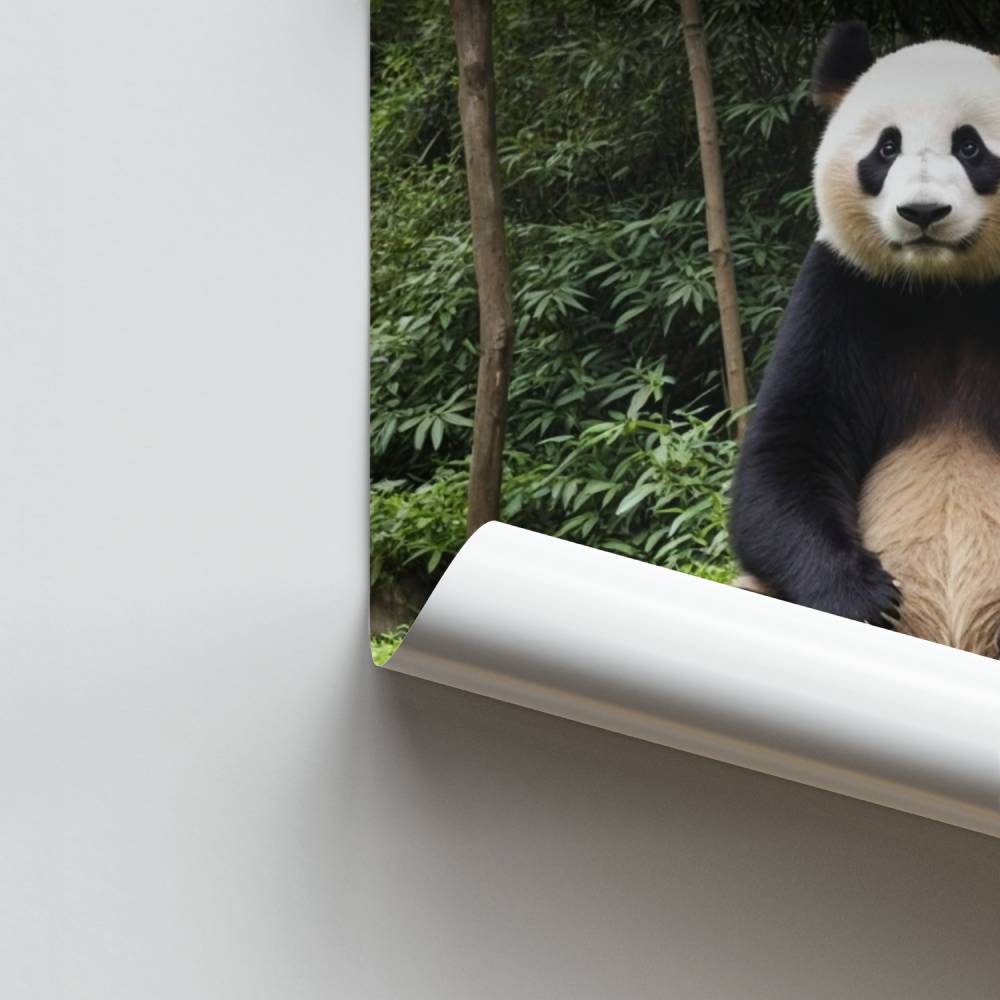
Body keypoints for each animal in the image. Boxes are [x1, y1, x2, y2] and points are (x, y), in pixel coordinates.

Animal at [729, 22, 1000, 658]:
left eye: (971, 147)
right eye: (887, 148)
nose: (923, 212)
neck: (946, 288)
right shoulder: (843, 292)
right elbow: (785, 452)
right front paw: (863, 595)